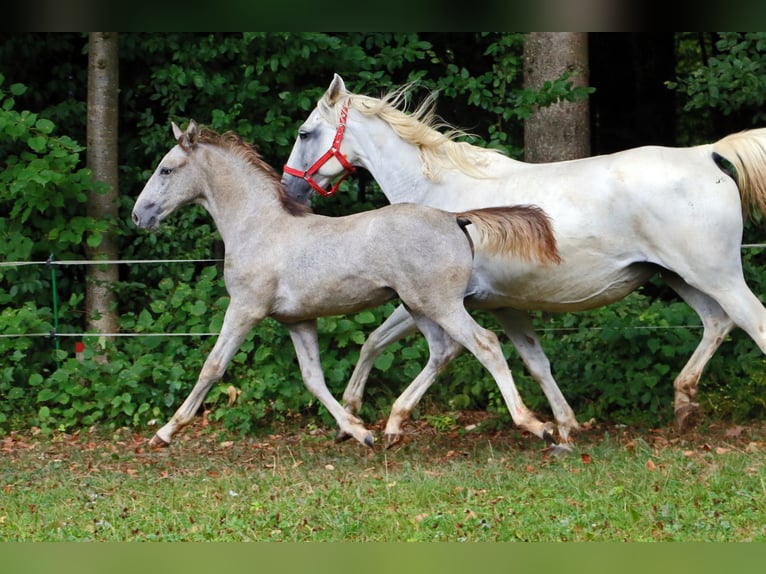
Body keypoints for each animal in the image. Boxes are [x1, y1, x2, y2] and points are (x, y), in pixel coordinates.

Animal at [132, 121, 564, 452]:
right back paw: (393, 426)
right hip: (418, 307)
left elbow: (212, 367)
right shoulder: (298, 320)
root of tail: (455, 217)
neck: (259, 227)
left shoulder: (245, 309)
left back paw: (537, 425)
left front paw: (165, 432)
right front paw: (357, 431)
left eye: (166, 170)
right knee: (444, 351)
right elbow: (313, 379)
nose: (139, 215)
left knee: (485, 345)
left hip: (441, 305)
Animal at [282, 74, 766, 446]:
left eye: (305, 133)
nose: (290, 190)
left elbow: (380, 342)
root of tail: (704, 153)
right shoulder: (502, 304)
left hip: (717, 276)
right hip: (678, 277)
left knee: (753, 323)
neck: (438, 196)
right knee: (717, 324)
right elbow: (535, 362)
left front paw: (368, 419)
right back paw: (684, 403)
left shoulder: (430, 299)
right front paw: (564, 428)